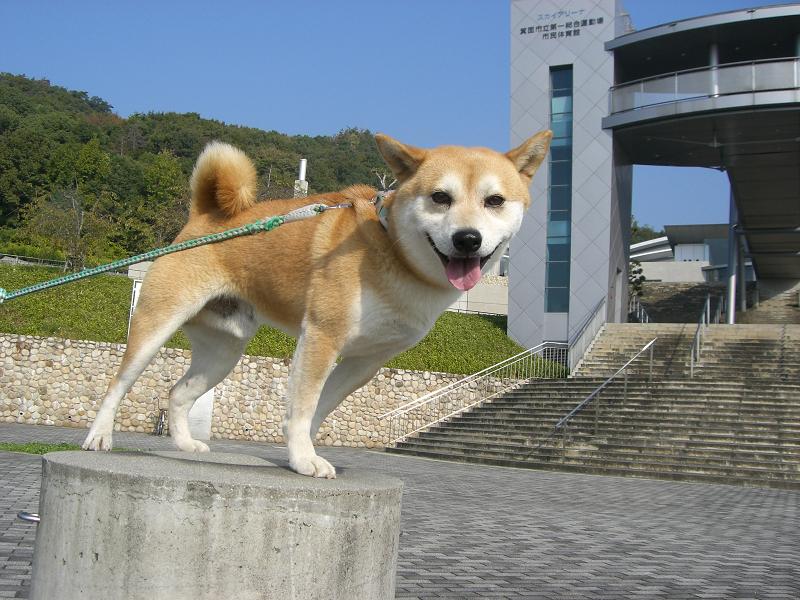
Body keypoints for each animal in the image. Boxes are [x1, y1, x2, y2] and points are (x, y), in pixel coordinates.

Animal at [84, 131, 552, 478]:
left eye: (495, 201)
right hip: (155, 325)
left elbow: (320, 407)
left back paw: (183, 443)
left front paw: (300, 449)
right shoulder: (322, 337)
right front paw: (303, 458)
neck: (393, 253)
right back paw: (99, 438)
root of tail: (202, 219)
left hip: (224, 351)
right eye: (440, 197)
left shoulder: (367, 361)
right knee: (118, 383)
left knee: (178, 393)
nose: (468, 239)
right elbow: (305, 402)